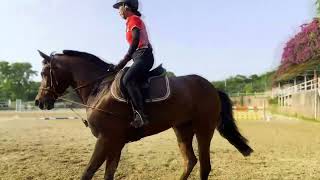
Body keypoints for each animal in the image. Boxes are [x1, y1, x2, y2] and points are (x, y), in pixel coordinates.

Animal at [35, 49, 254, 180]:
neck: (100, 88)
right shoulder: (115, 141)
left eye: (44, 73)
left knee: (204, 166)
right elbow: (108, 173)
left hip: (203, 129)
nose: (39, 101)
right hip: (182, 129)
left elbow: (88, 172)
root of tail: (212, 87)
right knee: (190, 161)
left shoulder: (105, 139)